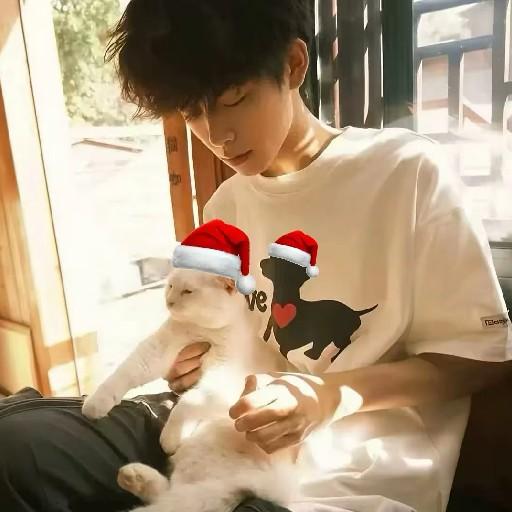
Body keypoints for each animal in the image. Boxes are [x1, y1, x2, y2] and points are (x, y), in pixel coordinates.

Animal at [82, 267, 300, 512]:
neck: (201, 331)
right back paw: (132, 475)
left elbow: (187, 402)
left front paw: (169, 436)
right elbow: (125, 372)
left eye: (187, 291)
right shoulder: (156, 351)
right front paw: (96, 403)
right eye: (170, 286)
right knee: (168, 493)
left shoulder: (220, 380)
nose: (169, 301)